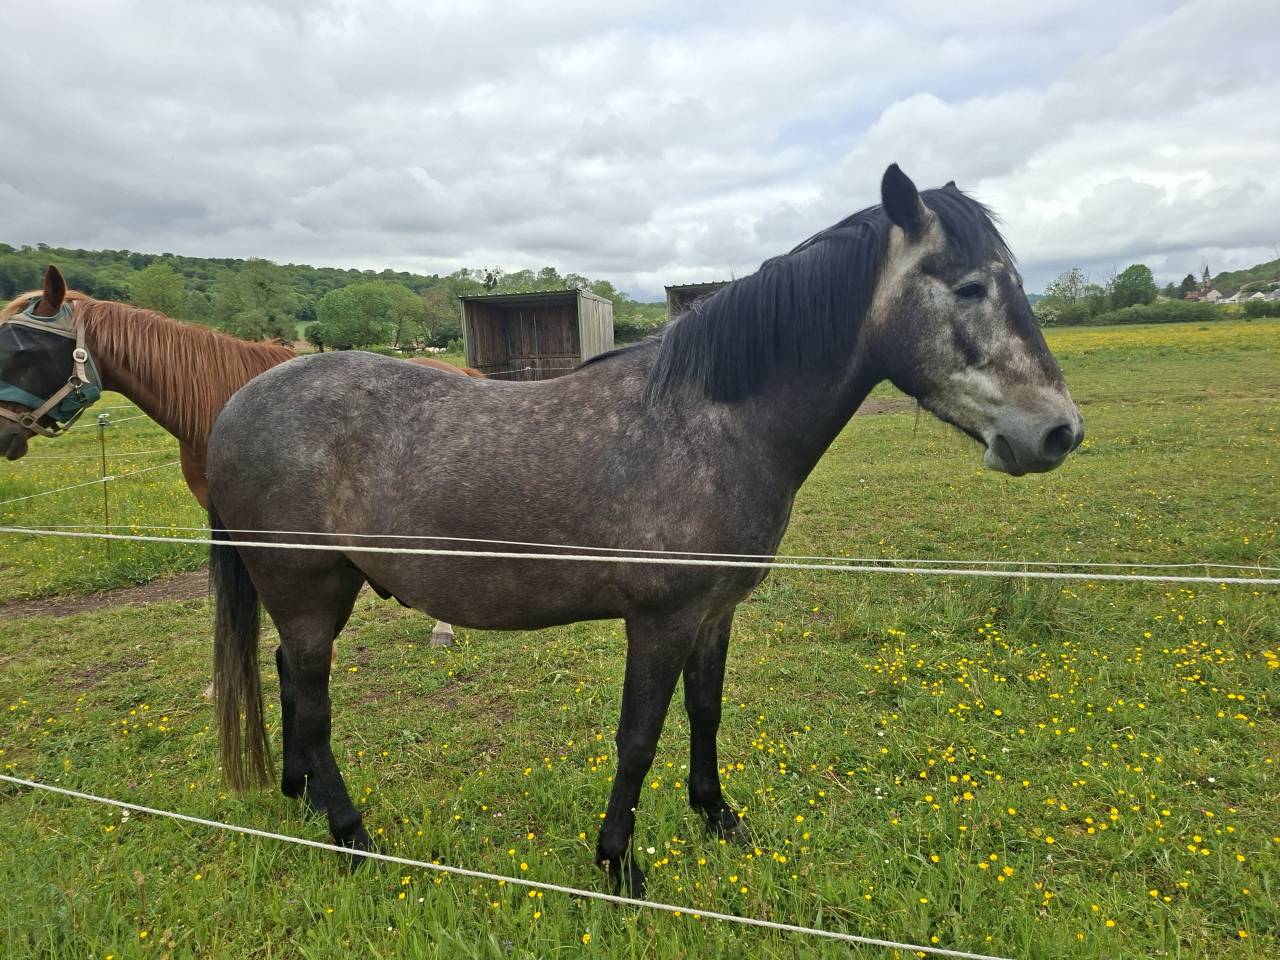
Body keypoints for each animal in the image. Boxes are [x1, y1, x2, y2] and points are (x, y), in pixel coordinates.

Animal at [206, 165, 1083, 894]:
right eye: (970, 288)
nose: (1058, 433)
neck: (712, 424)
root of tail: (235, 406)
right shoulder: (659, 621)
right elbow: (637, 738)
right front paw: (618, 863)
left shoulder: (714, 614)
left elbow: (705, 714)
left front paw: (718, 818)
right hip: (308, 591)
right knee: (314, 704)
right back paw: (353, 837)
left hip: (325, 594)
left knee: (290, 681)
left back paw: (303, 801)